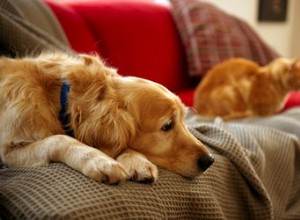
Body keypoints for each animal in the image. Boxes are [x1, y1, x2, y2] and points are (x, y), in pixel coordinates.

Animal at [0, 52, 216, 184]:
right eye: (168, 125)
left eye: (184, 119)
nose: (210, 160)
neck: (61, 100)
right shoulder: (9, 151)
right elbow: (60, 139)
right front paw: (99, 161)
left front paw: (137, 161)